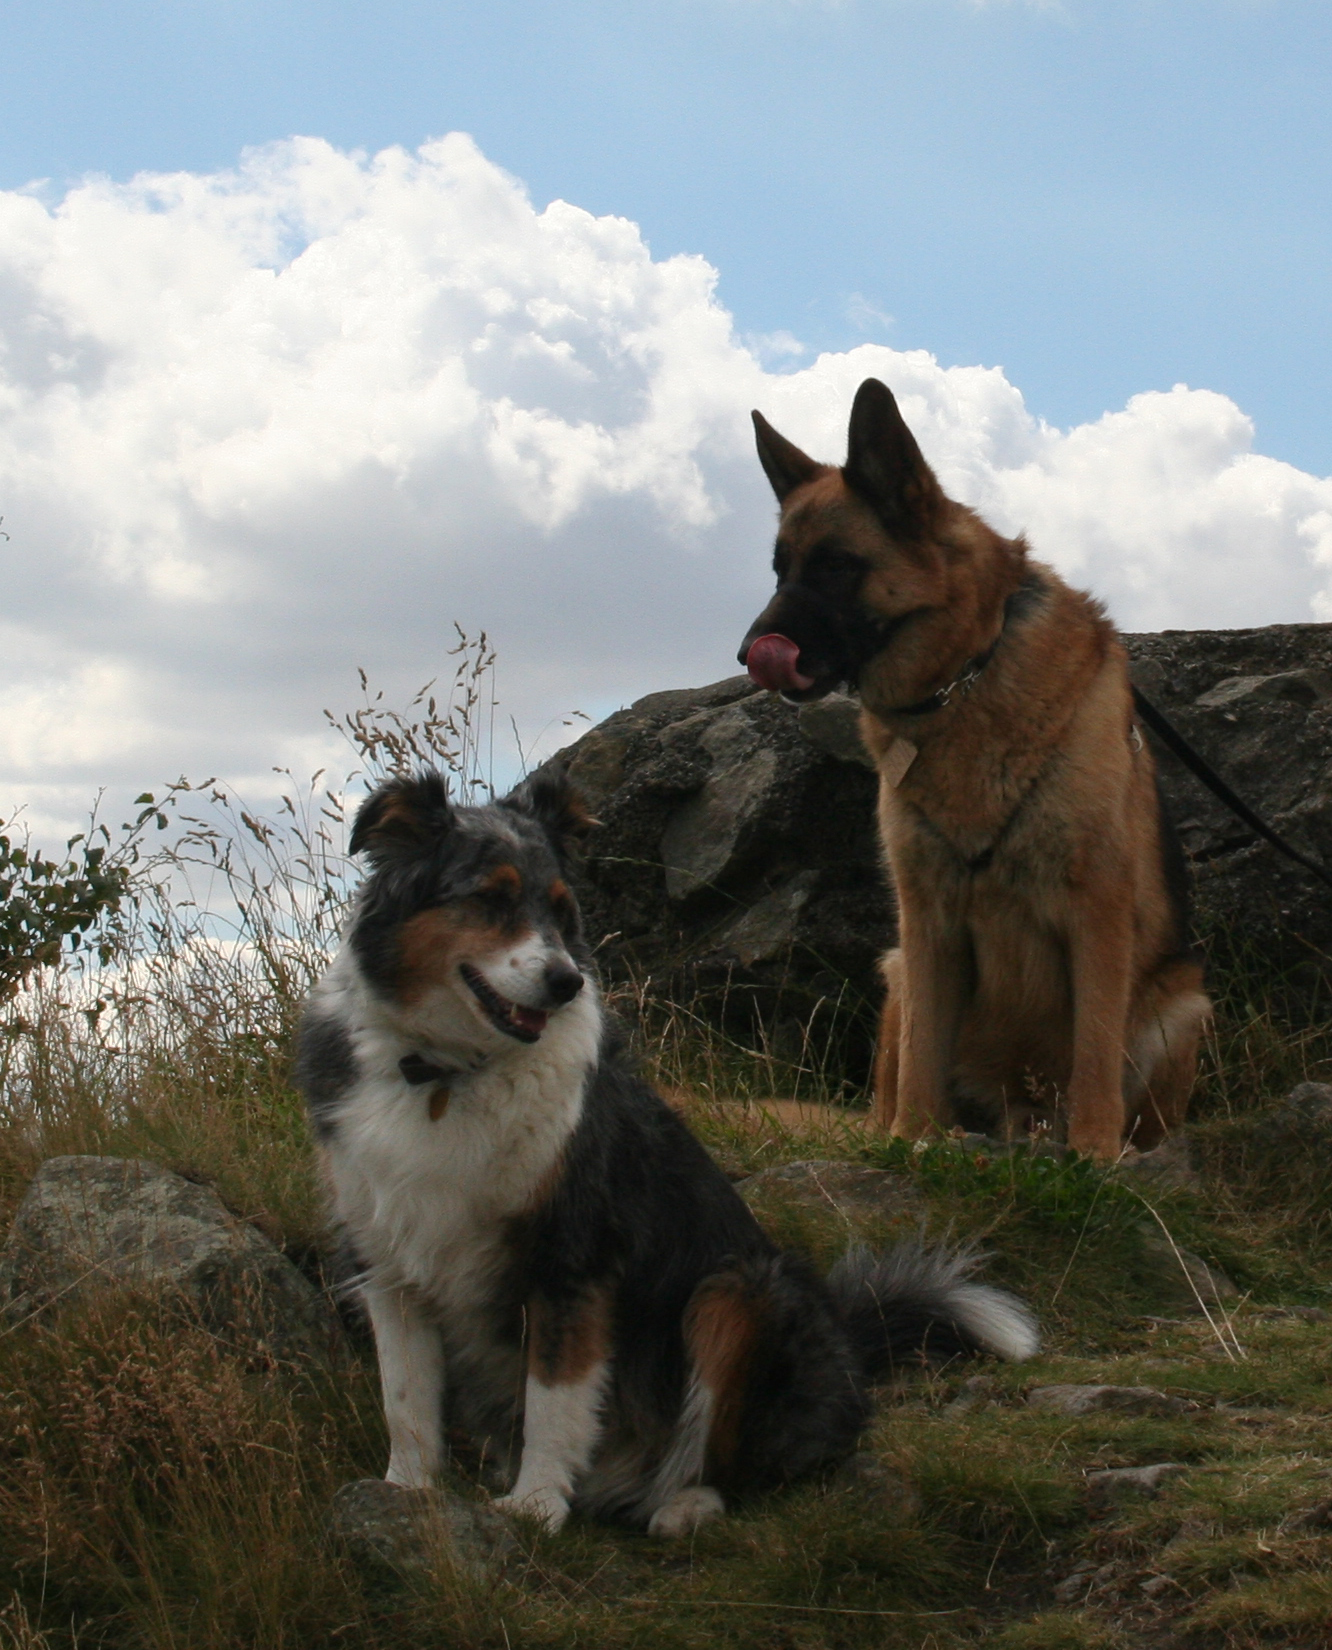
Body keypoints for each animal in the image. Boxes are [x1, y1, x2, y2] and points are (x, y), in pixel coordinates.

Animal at [298, 768, 1043, 1531]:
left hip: (737, 1292)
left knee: (738, 1462)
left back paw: (683, 1504)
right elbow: (407, 1400)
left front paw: (536, 1505)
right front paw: (406, 1492)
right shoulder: (389, 1261)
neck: (450, 1073)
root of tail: (849, 1353)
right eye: (490, 898)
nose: (566, 982)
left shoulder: (572, 1255)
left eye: (560, 910)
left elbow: (553, 1399)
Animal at [746, 382, 1214, 1161]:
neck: (966, 677)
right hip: (899, 971)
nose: (749, 653)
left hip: (1181, 1007)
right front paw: (914, 1142)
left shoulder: (1097, 913)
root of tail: (1020, 1117)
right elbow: (922, 1061)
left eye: (837, 565)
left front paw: (1093, 1152)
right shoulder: (927, 922)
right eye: (779, 569)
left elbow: (1093, 1052)